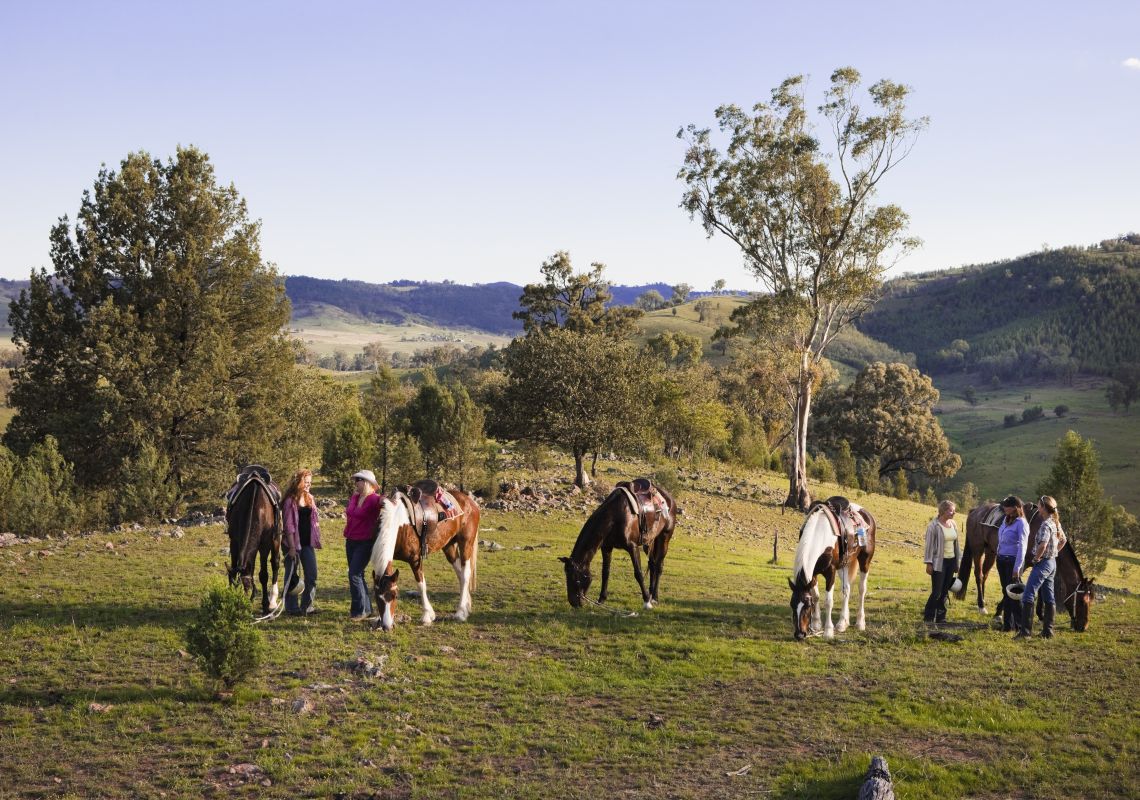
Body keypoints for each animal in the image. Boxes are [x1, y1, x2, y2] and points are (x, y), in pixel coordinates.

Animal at [224, 467, 282, 615]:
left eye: (248, 588)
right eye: (237, 588)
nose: (240, 605)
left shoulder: (264, 545)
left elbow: (263, 574)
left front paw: (266, 605)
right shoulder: (234, 541)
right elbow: (233, 570)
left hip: (276, 539)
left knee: (275, 563)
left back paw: (273, 600)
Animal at [369, 487, 481, 633]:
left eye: (395, 596)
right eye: (377, 598)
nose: (387, 627)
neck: (399, 523)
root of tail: (471, 502)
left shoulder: (415, 559)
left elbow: (421, 584)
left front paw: (427, 615)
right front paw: (377, 620)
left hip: (466, 543)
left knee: (466, 574)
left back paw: (461, 612)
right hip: (449, 546)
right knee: (460, 575)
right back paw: (467, 605)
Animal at [558, 483, 674, 615]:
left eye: (575, 578)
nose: (573, 603)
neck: (615, 516)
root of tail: (668, 498)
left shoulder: (632, 547)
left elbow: (638, 573)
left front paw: (646, 602)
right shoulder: (606, 548)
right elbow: (605, 572)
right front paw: (601, 600)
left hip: (664, 537)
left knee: (659, 566)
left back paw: (654, 598)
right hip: (650, 541)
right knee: (653, 564)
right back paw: (650, 594)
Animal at [788, 499, 875, 642]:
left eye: (807, 606)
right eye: (792, 604)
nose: (799, 635)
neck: (819, 534)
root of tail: (867, 514)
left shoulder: (830, 572)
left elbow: (828, 601)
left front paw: (828, 631)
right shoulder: (813, 574)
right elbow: (816, 596)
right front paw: (816, 625)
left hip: (865, 561)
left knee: (862, 589)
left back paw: (860, 623)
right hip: (844, 564)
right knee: (846, 590)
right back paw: (842, 623)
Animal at [953, 501, 1094, 633]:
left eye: (1090, 601)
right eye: (1082, 601)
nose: (1084, 626)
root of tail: (975, 511)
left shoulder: (1038, 564)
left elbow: (1040, 589)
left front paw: (1041, 616)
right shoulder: (1022, 564)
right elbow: (1013, 585)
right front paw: (998, 613)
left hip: (991, 552)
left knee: (985, 575)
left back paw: (982, 601)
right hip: (978, 549)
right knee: (978, 575)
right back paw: (981, 606)